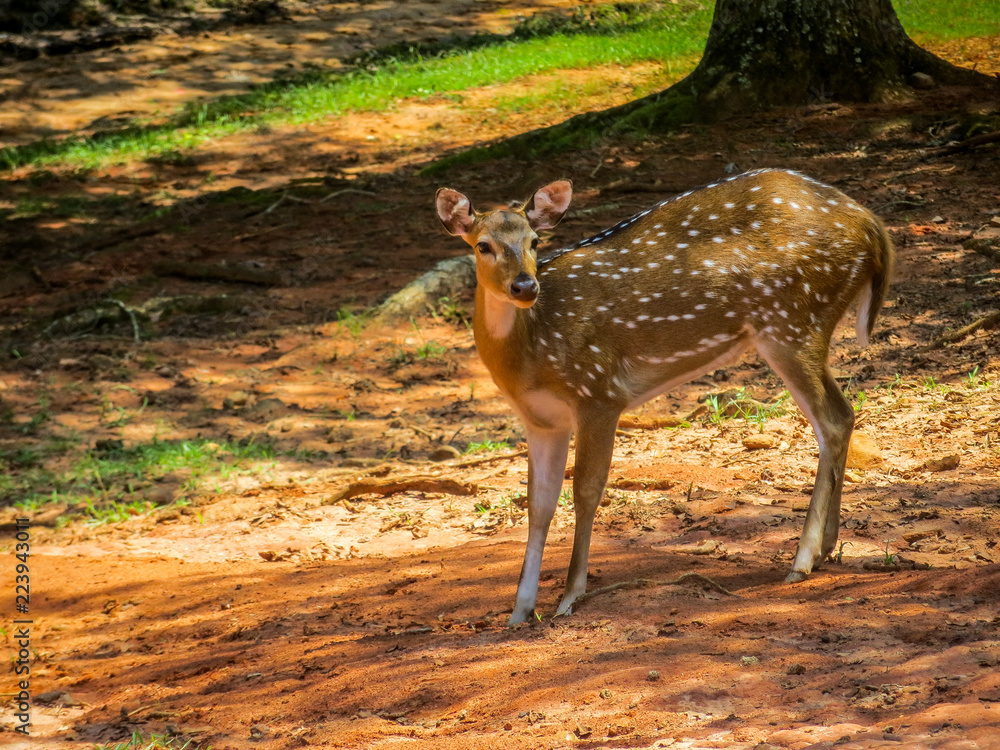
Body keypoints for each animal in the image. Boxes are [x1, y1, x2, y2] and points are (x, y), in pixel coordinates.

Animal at [435, 168, 893, 625]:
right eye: (483, 245)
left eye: (534, 241)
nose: (525, 286)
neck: (530, 352)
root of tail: (873, 226)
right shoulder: (542, 421)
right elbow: (539, 505)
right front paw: (520, 610)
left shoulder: (598, 391)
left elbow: (586, 491)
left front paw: (569, 597)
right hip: (803, 326)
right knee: (843, 415)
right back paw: (826, 548)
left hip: (792, 321)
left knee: (832, 418)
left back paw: (801, 559)